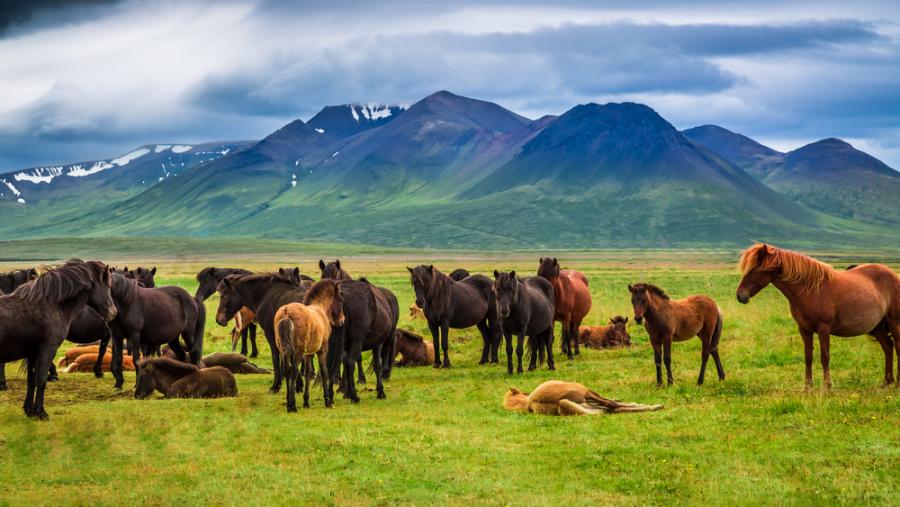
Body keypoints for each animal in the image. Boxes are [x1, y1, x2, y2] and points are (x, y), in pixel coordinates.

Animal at [0, 260, 116, 418]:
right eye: (107, 286)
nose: (113, 312)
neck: (51, 305)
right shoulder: (48, 349)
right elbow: (41, 380)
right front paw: (41, 412)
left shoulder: (32, 353)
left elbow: (31, 380)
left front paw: (29, 411)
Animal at [272, 278, 342, 412]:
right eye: (340, 299)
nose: (342, 320)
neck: (320, 308)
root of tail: (286, 312)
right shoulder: (322, 349)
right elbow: (324, 371)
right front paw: (328, 401)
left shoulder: (308, 354)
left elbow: (308, 373)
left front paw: (306, 401)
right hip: (298, 351)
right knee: (293, 371)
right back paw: (292, 405)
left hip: (283, 350)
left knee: (286, 370)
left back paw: (289, 402)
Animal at [736, 244, 900, 390]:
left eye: (754, 269)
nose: (740, 296)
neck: (810, 290)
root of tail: (894, 275)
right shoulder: (804, 329)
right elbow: (808, 357)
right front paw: (807, 387)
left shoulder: (823, 328)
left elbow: (824, 357)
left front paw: (827, 387)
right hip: (877, 327)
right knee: (888, 347)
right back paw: (887, 382)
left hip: (894, 323)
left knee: (897, 347)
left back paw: (897, 383)